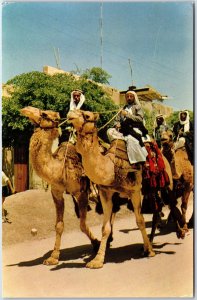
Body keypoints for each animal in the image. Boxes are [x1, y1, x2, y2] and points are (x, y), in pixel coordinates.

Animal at [20, 106, 99, 266]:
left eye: (44, 113)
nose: (25, 109)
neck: (58, 168)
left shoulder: (81, 193)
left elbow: (82, 224)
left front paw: (96, 243)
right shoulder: (56, 192)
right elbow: (59, 225)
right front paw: (53, 257)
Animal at [67, 109, 155, 268]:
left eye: (87, 115)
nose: (71, 113)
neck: (111, 166)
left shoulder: (134, 191)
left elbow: (140, 221)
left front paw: (149, 251)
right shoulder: (106, 192)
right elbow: (105, 227)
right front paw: (97, 260)